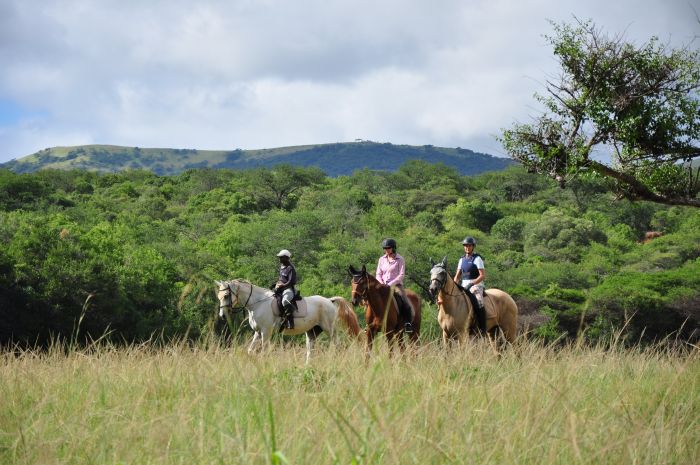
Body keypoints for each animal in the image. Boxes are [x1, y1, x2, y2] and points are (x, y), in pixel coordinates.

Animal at [216, 278, 360, 364]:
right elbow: (250, 351)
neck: (258, 303)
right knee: (310, 351)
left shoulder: (265, 332)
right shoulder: (258, 332)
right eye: (219, 296)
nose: (222, 315)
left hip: (329, 329)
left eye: (226, 295)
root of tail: (329, 300)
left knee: (336, 345)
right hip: (312, 332)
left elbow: (264, 351)